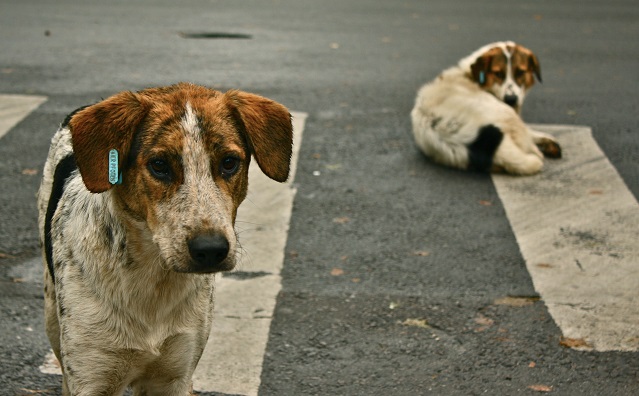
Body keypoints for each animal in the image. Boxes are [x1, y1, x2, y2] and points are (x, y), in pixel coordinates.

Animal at [37, 82, 292, 394]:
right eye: (159, 165)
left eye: (229, 163)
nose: (211, 249)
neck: (153, 278)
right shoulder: (91, 376)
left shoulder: (175, 375)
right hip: (52, 315)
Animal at [412, 40, 564, 175]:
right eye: (498, 73)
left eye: (520, 72)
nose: (511, 99)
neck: (470, 75)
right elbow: (531, 132)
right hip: (506, 114)